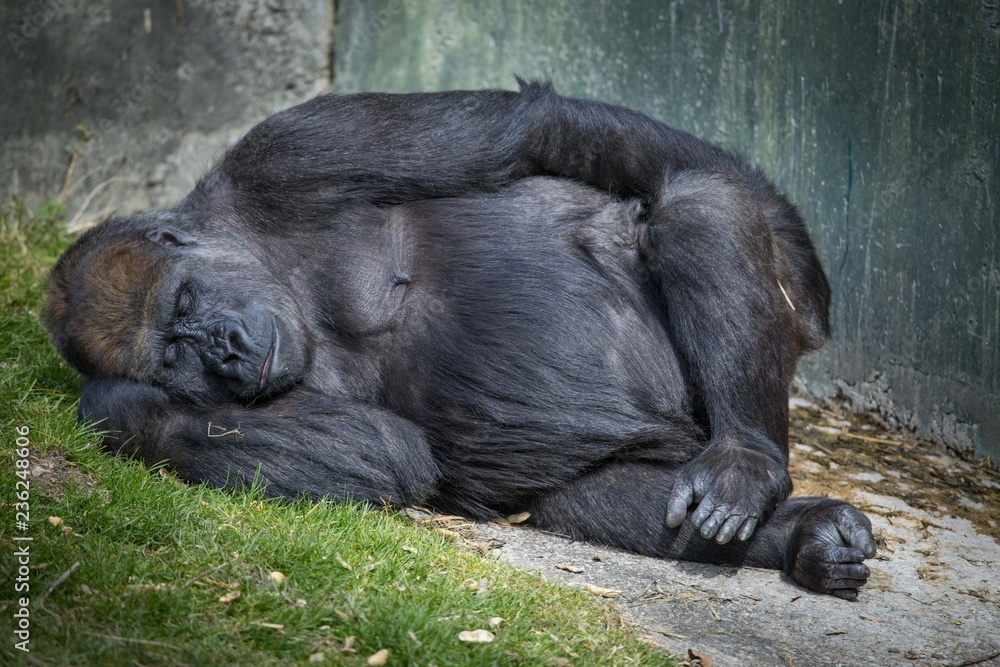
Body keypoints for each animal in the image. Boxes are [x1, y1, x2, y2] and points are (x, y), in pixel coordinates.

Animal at [45, 82, 876, 600]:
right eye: (172, 351)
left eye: (187, 301)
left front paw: (794, 253)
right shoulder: (114, 409)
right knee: (587, 497)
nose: (222, 348)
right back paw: (803, 536)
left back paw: (747, 459)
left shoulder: (290, 150)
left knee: (697, 205)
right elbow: (383, 452)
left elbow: (534, 129)